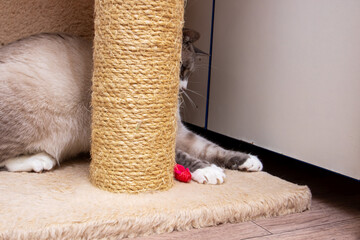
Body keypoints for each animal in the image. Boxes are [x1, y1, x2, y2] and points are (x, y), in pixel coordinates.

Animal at [0, 30, 260, 184]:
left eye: (186, 71)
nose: (182, 88)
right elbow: (183, 156)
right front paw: (209, 171)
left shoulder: (179, 132)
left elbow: (213, 148)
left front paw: (248, 161)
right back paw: (39, 161)